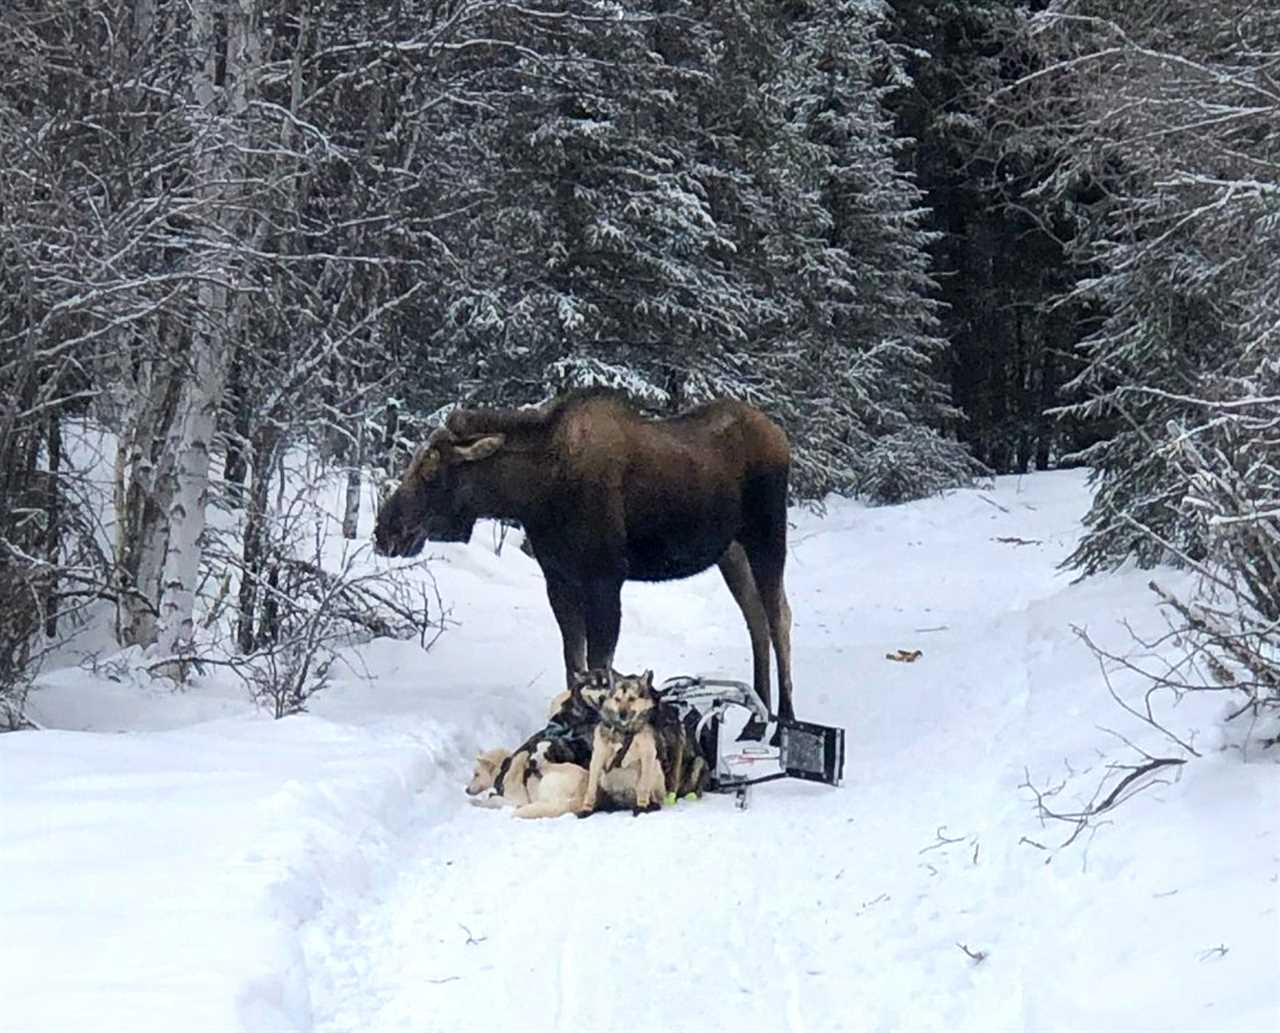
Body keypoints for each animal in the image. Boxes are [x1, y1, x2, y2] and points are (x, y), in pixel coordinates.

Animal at [368, 389, 788, 737]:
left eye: (431, 471)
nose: (384, 531)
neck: (535, 493)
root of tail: (781, 436)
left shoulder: (605, 578)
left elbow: (598, 666)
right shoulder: (559, 580)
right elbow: (574, 663)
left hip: (767, 537)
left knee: (779, 617)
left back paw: (784, 722)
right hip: (731, 552)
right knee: (756, 619)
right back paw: (756, 720)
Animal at [576, 675, 665, 819]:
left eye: (631, 699)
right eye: (617, 699)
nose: (621, 714)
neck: (623, 730)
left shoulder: (648, 755)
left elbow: (643, 786)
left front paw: (642, 807)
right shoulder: (597, 757)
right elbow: (591, 789)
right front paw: (587, 809)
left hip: (655, 767)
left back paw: (651, 805)